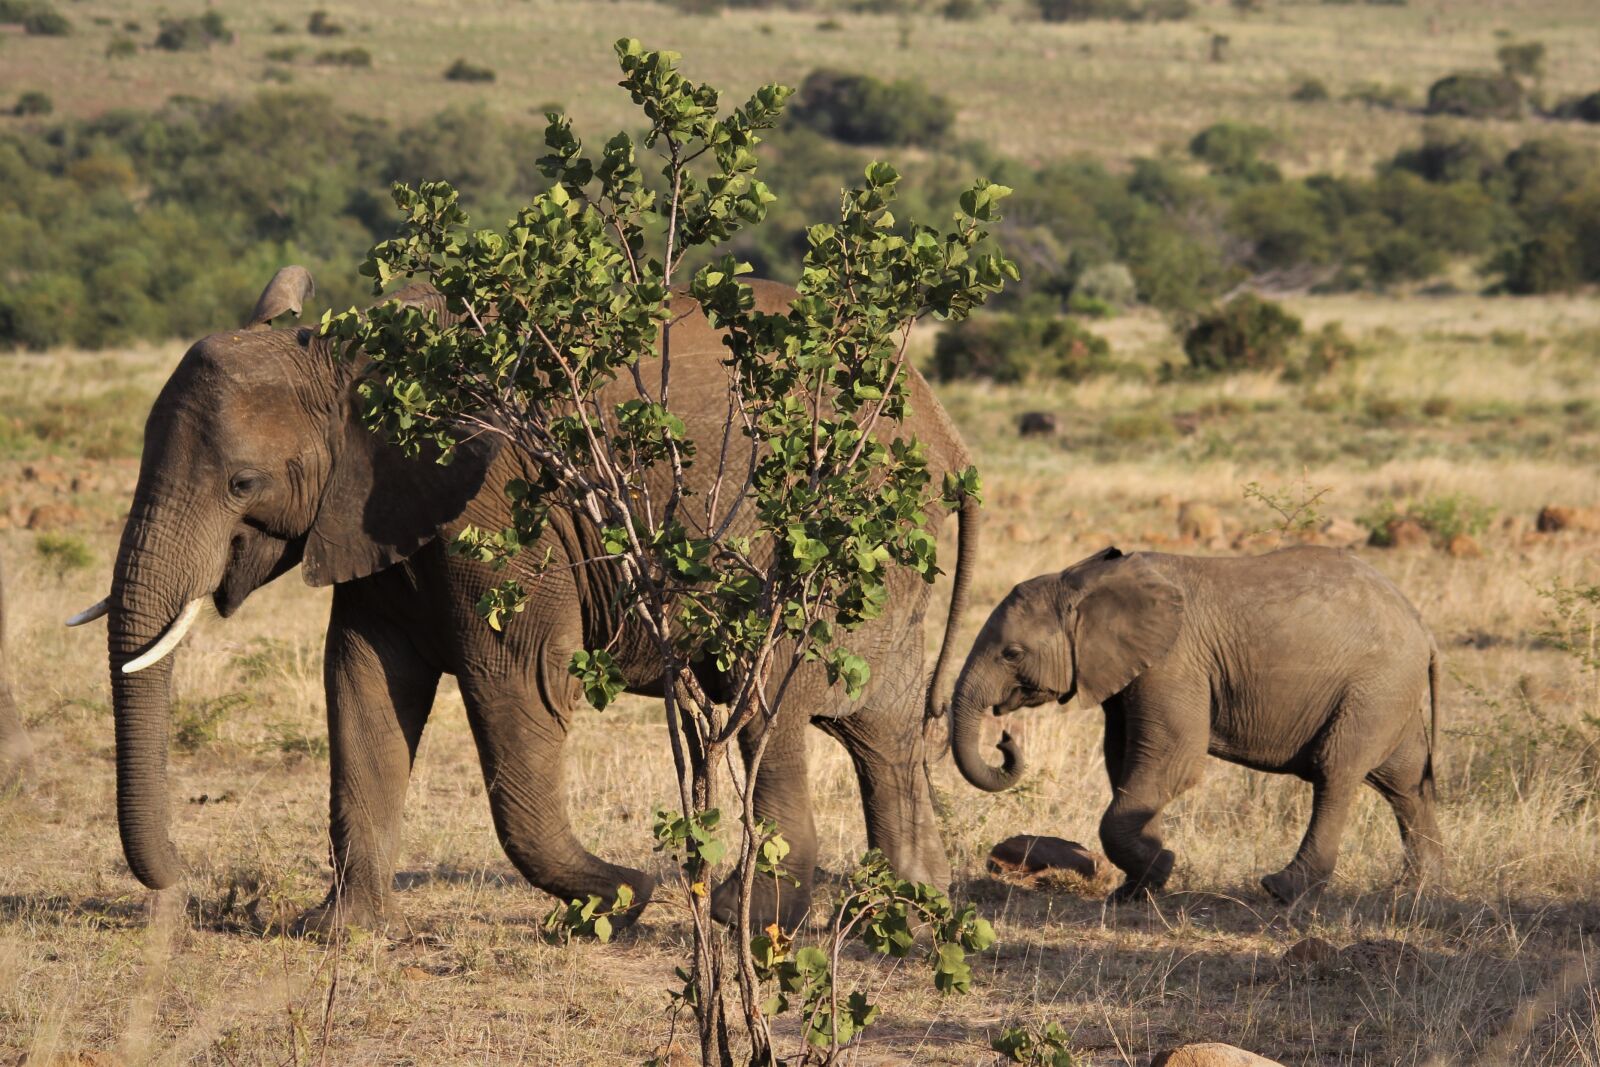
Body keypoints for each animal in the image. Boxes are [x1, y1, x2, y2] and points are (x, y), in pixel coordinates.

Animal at [67, 266, 978, 934]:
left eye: (241, 482)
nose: (183, 883)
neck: (360, 360)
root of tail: (949, 438)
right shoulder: (374, 514)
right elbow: (362, 687)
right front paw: (338, 932)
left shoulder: (504, 508)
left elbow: (518, 683)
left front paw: (624, 897)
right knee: (881, 733)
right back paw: (908, 914)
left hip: (826, 536)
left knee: (768, 700)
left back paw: (742, 918)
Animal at [948, 545, 1441, 904]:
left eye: (1012, 653)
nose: (1004, 740)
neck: (1084, 581)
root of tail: (1422, 626)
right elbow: (1123, 762)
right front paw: (1139, 885)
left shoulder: (1174, 662)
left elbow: (1172, 763)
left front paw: (1160, 868)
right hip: (1387, 692)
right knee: (1405, 782)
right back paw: (1414, 890)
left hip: (1374, 686)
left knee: (1335, 772)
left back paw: (1283, 891)